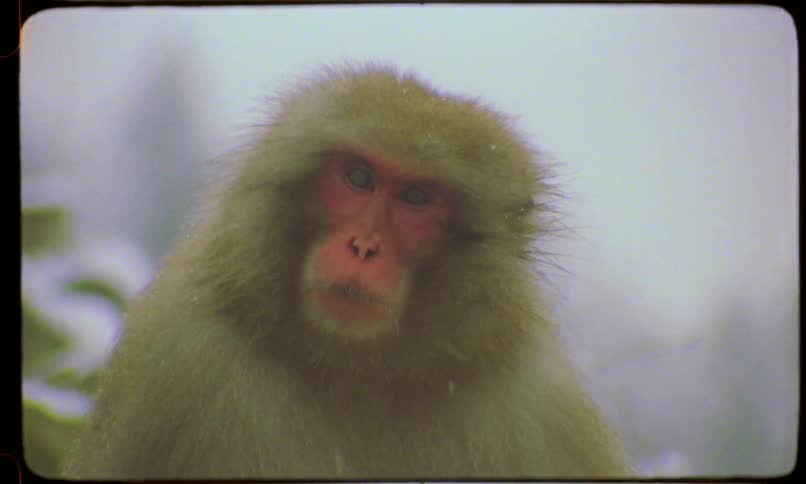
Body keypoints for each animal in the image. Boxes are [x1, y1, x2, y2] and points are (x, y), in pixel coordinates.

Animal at [64, 63, 632, 480]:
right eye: (358, 177)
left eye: (417, 198)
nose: (363, 247)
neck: (356, 373)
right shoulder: (172, 350)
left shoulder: (546, 407)